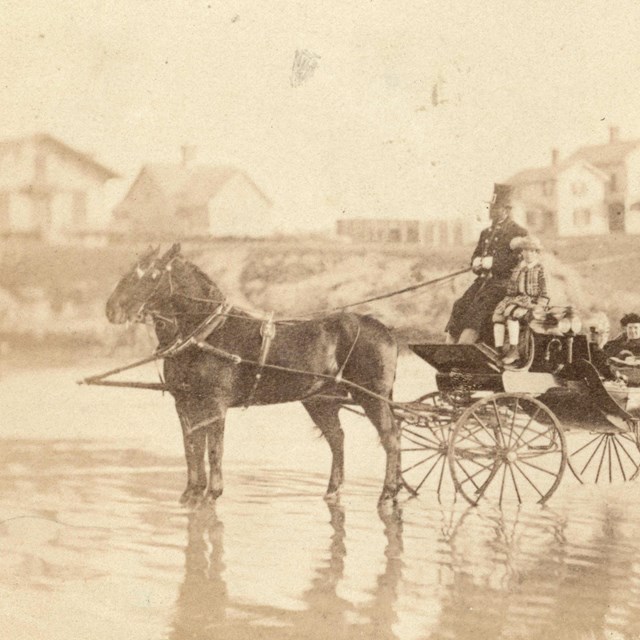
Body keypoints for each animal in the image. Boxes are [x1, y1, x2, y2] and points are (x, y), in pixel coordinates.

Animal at [105, 242, 400, 502]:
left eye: (152, 274)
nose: (111, 308)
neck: (206, 333)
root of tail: (386, 330)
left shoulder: (215, 404)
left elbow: (214, 449)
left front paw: (212, 492)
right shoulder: (185, 403)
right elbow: (192, 448)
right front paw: (192, 493)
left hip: (371, 396)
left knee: (390, 438)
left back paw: (388, 492)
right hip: (321, 401)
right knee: (338, 439)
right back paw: (334, 490)